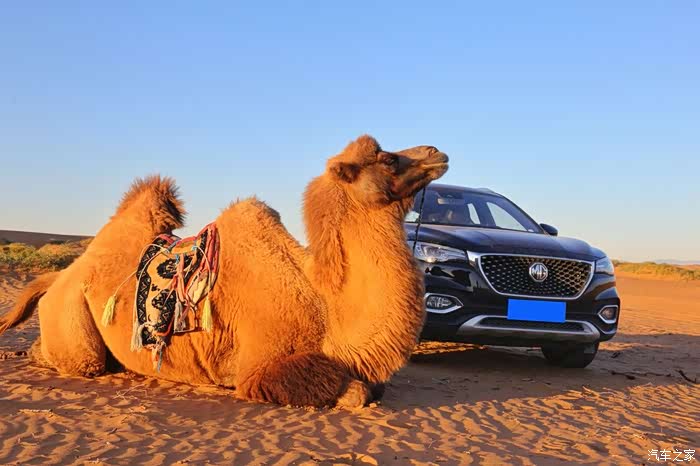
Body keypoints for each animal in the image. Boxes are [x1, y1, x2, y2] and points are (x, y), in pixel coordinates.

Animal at [0, 135, 449, 408]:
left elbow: (372, 386)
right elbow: (351, 391)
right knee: (83, 361)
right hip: (72, 317)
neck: (324, 302)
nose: (437, 151)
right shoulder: (259, 369)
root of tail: (61, 275)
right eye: (387, 157)